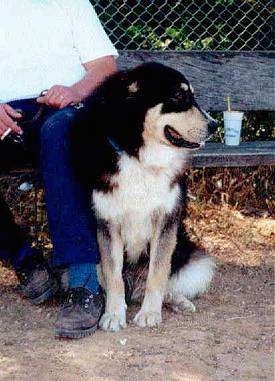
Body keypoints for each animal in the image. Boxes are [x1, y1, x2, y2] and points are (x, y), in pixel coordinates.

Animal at [73, 62, 218, 330]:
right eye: (178, 96)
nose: (214, 125)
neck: (139, 157)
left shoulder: (165, 222)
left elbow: (158, 272)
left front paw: (150, 313)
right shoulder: (108, 224)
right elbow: (114, 276)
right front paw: (113, 315)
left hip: (197, 263)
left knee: (168, 284)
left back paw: (178, 302)